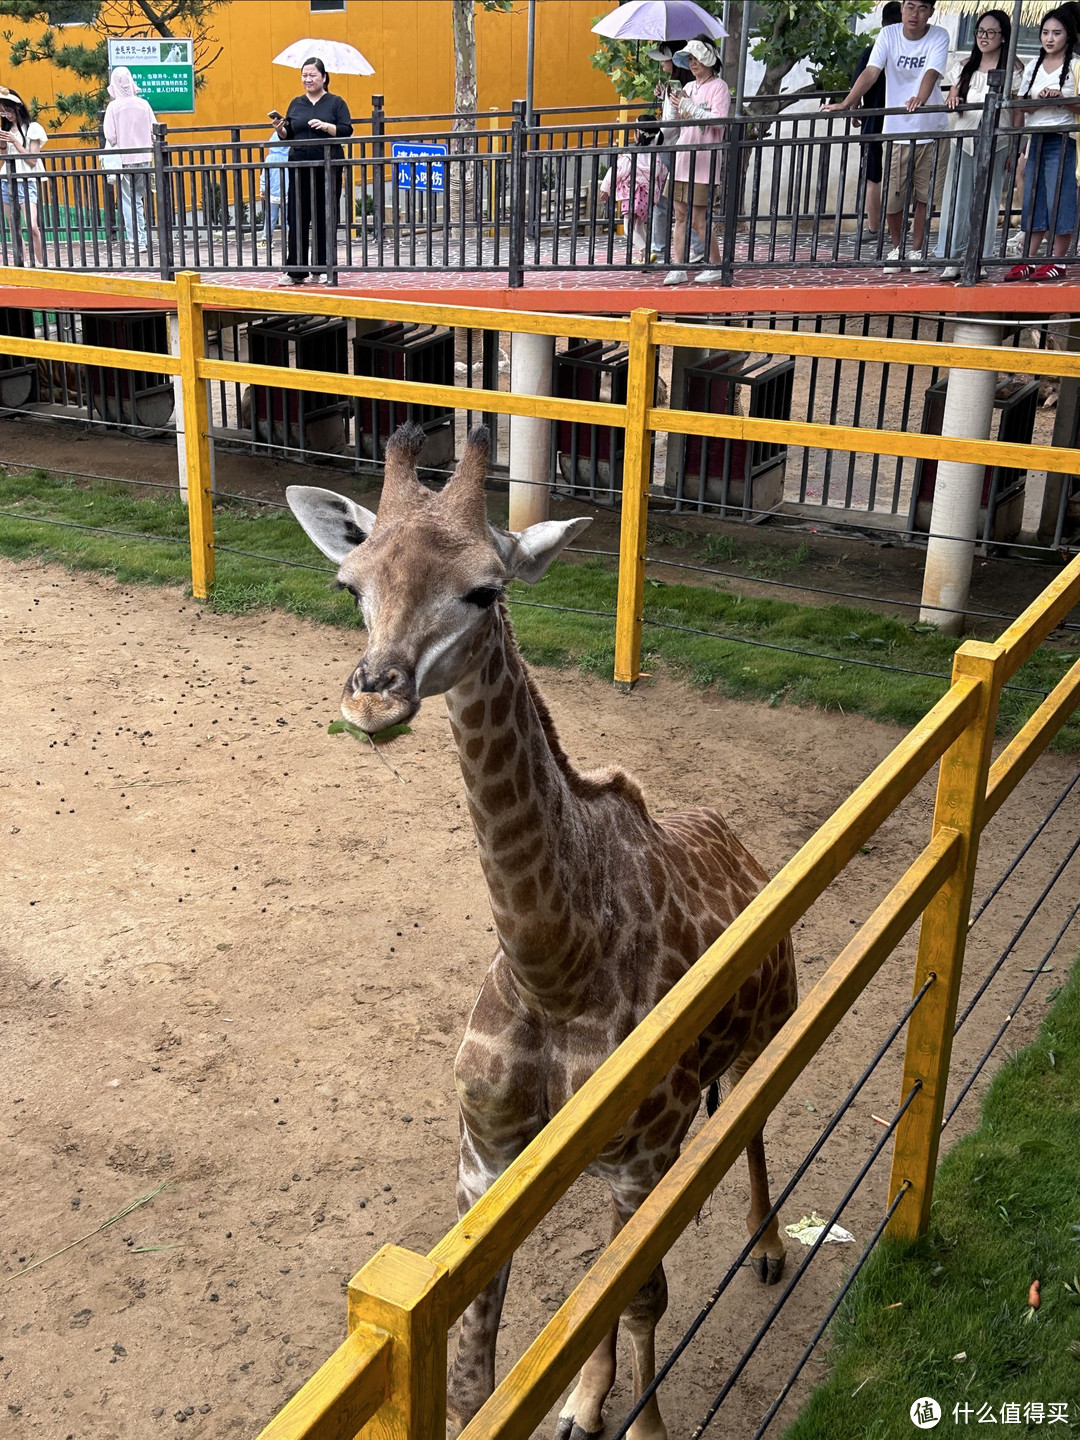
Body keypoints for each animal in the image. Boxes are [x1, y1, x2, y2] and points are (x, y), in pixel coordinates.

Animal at [292, 420, 800, 1440]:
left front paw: (641, 1425)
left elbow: (640, 1295)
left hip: (764, 1035)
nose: (372, 698)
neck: (554, 967)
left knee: (753, 1124)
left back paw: (767, 1252)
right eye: (350, 585)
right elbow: (477, 1368)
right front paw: (579, 1405)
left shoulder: (643, 1155)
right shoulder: (485, 1159)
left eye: (485, 589)